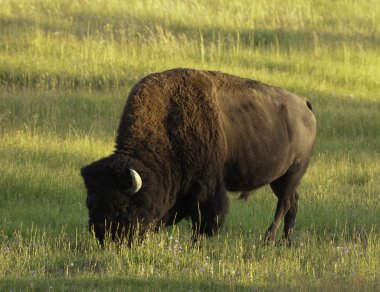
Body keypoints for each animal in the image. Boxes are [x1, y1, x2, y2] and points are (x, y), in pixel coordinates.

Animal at [81, 69, 316, 246]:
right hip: (281, 179)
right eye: (90, 203)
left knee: (285, 203)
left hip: (290, 174)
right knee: (292, 202)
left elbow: (205, 219)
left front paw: (196, 244)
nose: (104, 238)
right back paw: (286, 241)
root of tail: (304, 104)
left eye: (122, 206)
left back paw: (268, 239)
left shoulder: (207, 188)